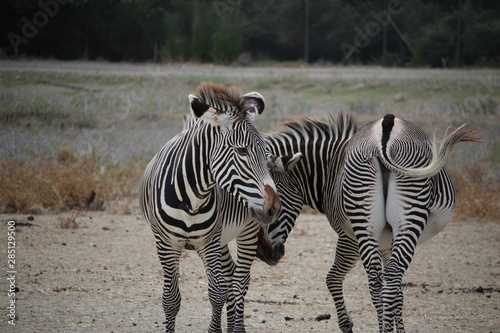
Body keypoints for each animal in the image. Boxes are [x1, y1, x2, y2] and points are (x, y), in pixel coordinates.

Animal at [139, 81, 284, 332]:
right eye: (242, 150)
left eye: (266, 155)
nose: (273, 208)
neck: (192, 199)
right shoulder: (166, 243)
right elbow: (170, 299)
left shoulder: (210, 241)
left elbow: (217, 292)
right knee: (232, 275)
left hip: (246, 232)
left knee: (240, 281)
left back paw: (238, 328)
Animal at [254, 113, 480, 330]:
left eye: (273, 205)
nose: (264, 254)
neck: (331, 168)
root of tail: (384, 140)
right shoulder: (370, 239)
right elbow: (390, 289)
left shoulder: (355, 238)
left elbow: (336, 278)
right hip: (399, 220)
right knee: (386, 279)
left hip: (368, 221)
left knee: (379, 281)